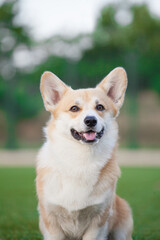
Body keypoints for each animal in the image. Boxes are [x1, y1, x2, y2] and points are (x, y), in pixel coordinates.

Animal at [35, 66, 133, 239]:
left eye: (100, 107)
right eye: (74, 108)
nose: (90, 120)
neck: (81, 159)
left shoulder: (98, 220)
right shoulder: (51, 220)